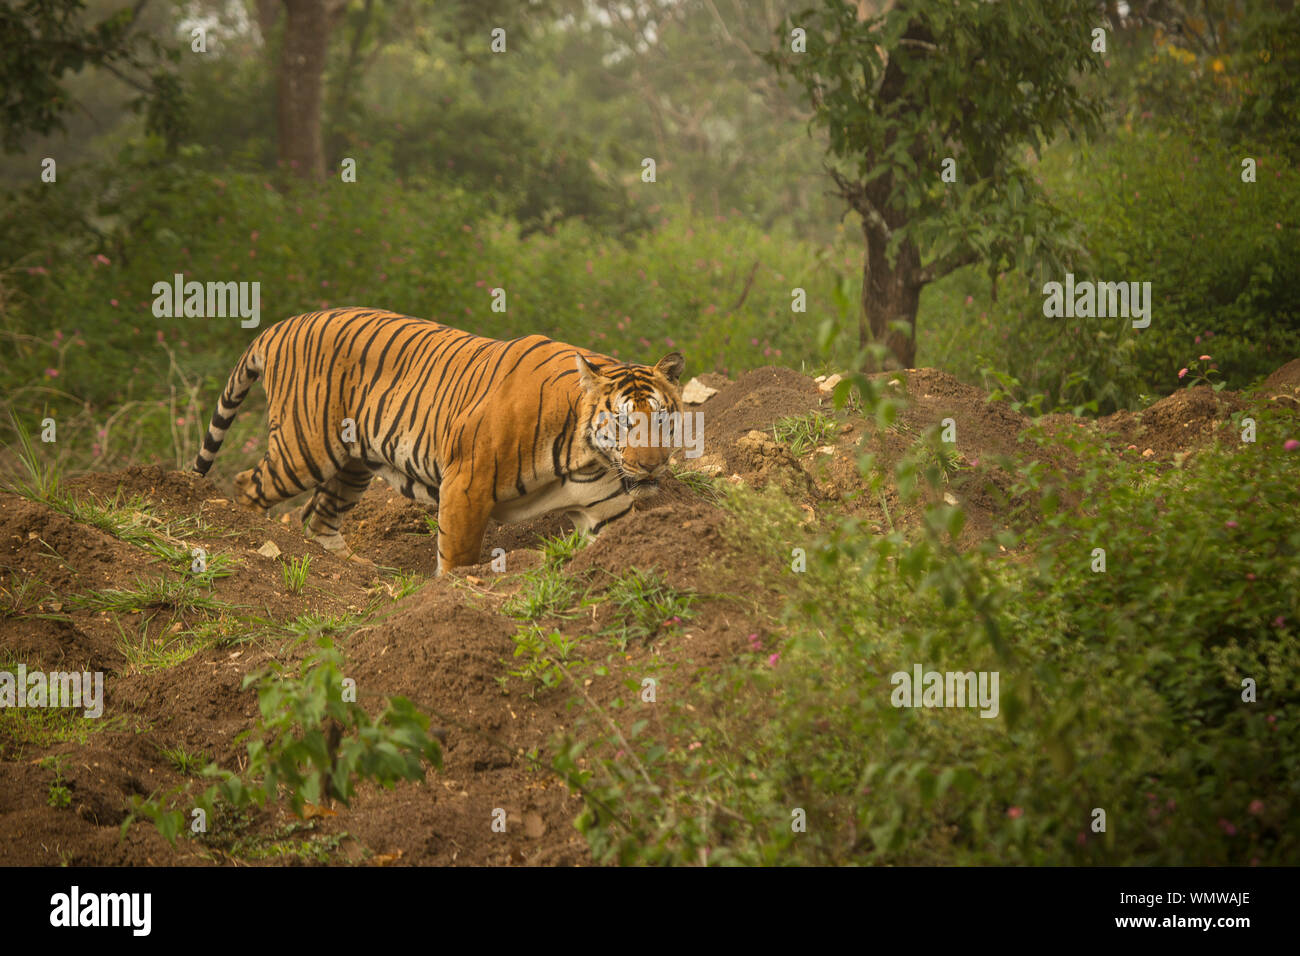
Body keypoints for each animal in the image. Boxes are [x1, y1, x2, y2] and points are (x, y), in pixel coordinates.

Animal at [191, 310, 686, 572]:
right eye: (623, 423)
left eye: (663, 419)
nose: (652, 467)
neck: (586, 457)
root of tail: (283, 323)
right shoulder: (468, 484)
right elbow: (458, 555)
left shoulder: (607, 508)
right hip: (306, 449)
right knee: (248, 486)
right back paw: (259, 544)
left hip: (351, 466)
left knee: (322, 517)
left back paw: (353, 568)